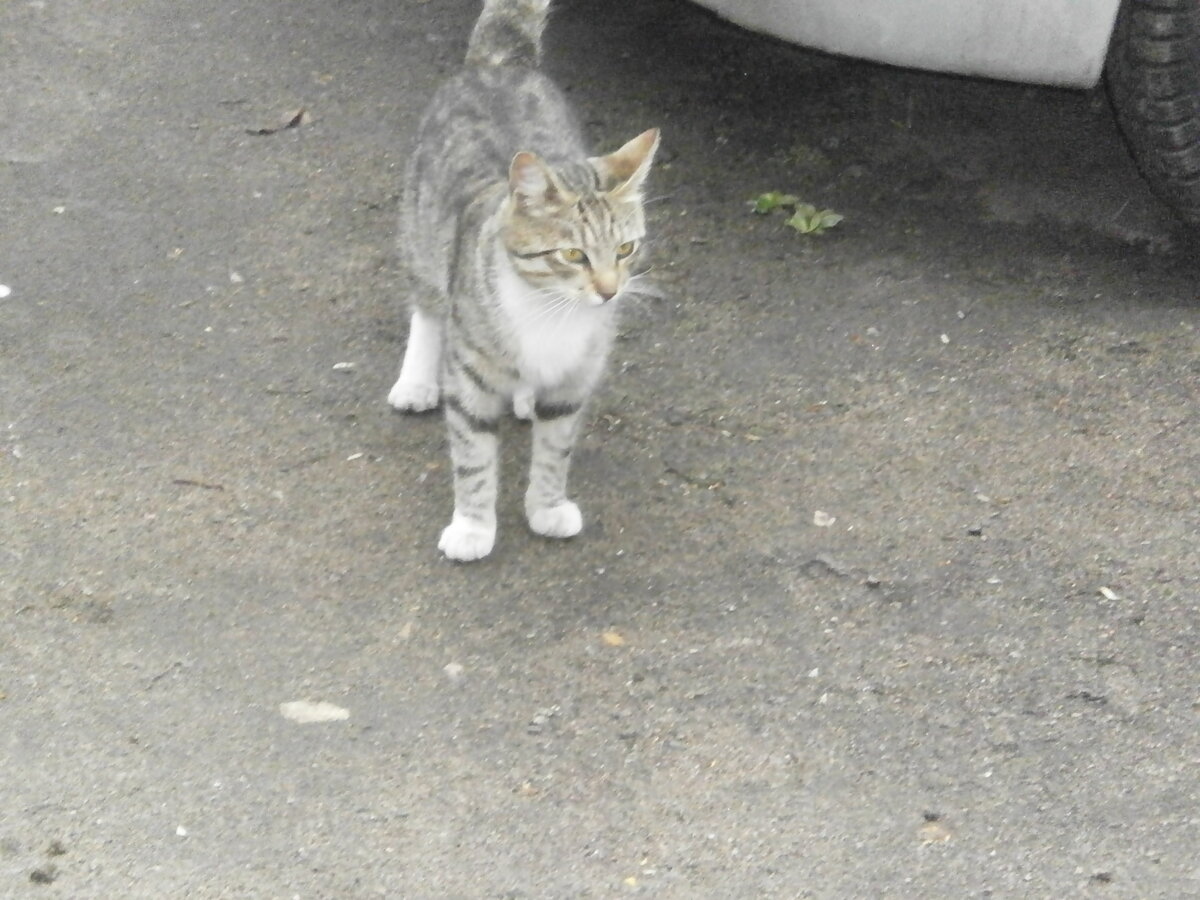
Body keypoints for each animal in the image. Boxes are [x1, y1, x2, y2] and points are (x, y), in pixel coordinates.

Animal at [386, 0, 662, 561]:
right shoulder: (469, 377)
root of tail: (500, 66)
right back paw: (417, 380)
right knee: (426, 306)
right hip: (422, 231)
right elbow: (473, 456)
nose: (610, 292)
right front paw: (472, 527)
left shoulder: (577, 377)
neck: (549, 309)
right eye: (573, 254)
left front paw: (547, 506)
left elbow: (556, 449)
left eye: (625, 249)